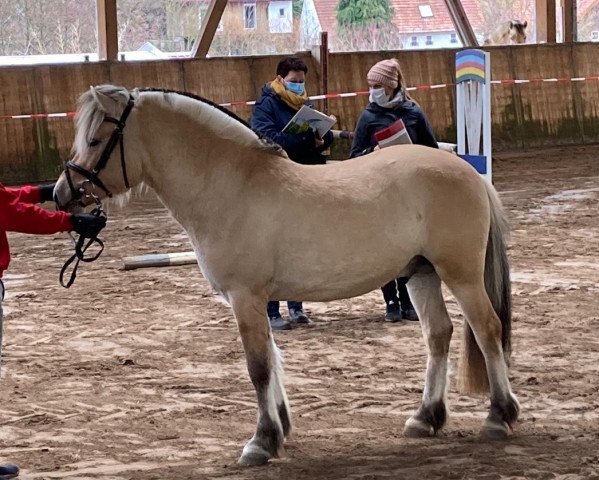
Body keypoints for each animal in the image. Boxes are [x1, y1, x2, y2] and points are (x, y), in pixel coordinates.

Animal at [54, 85, 520, 464]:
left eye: (96, 139)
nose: (62, 194)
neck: (233, 185)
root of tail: (469, 172)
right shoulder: (259, 300)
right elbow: (273, 359)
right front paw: (280, 429)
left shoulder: (245, 296)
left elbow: (258, 366)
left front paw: (260, 442)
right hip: (421, 275)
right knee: (439, 334)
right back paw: (425, 418)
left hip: (459, 274)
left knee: (486, 329)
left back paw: (499, 417)